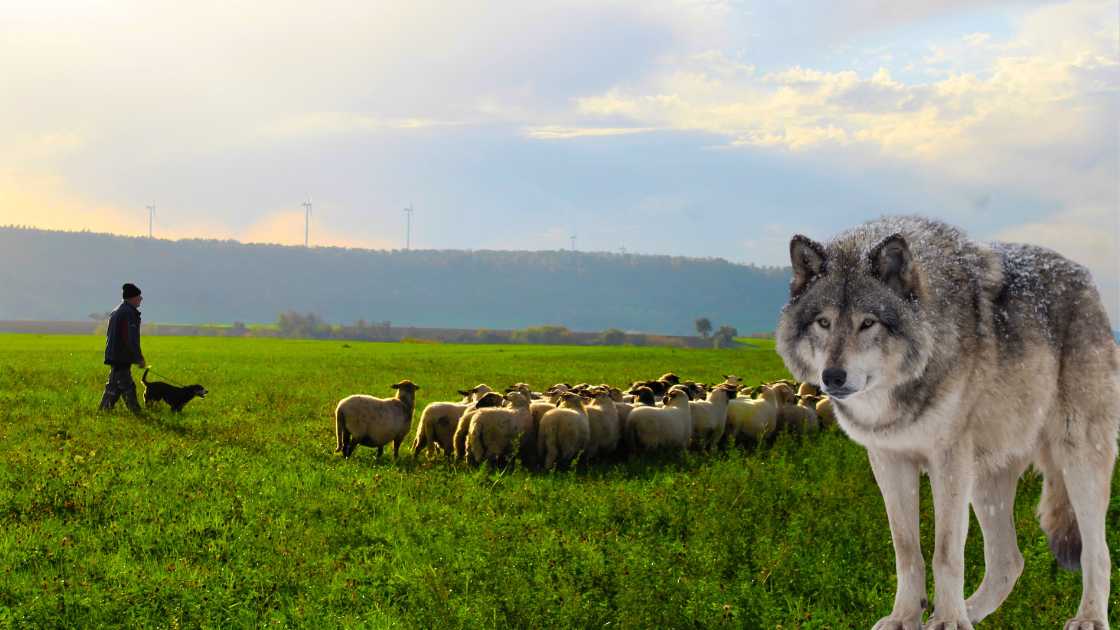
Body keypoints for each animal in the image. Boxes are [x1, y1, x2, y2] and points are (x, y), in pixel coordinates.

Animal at [775, 216, 1117, 629]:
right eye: (823, 322)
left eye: (868, 323)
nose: (833, 377)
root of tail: (1084, 277)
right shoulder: (889, 461)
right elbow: (907, 550)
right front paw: (907, 617)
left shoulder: (948, 462)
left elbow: (946, 552)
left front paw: (949, 621)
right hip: (986, 481)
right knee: (1009, 561)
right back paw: (971, 610)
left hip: (1076, 461)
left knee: (1098, 552)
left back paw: (1088, 617)